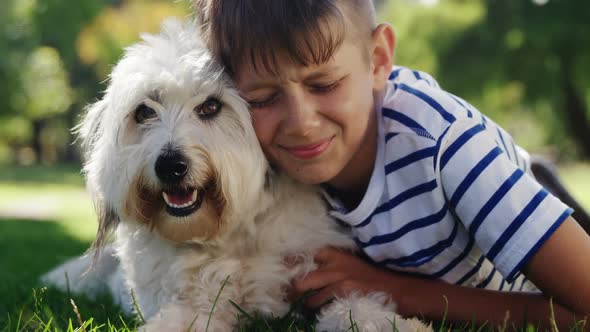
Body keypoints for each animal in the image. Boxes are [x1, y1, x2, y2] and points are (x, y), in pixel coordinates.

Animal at [40, 19, 430, 332]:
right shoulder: (194, 306)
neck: (232, 232)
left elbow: (355, 307)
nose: (170, 165)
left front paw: (393, 323)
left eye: (211, 106)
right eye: (144, 112)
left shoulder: (318, 278)